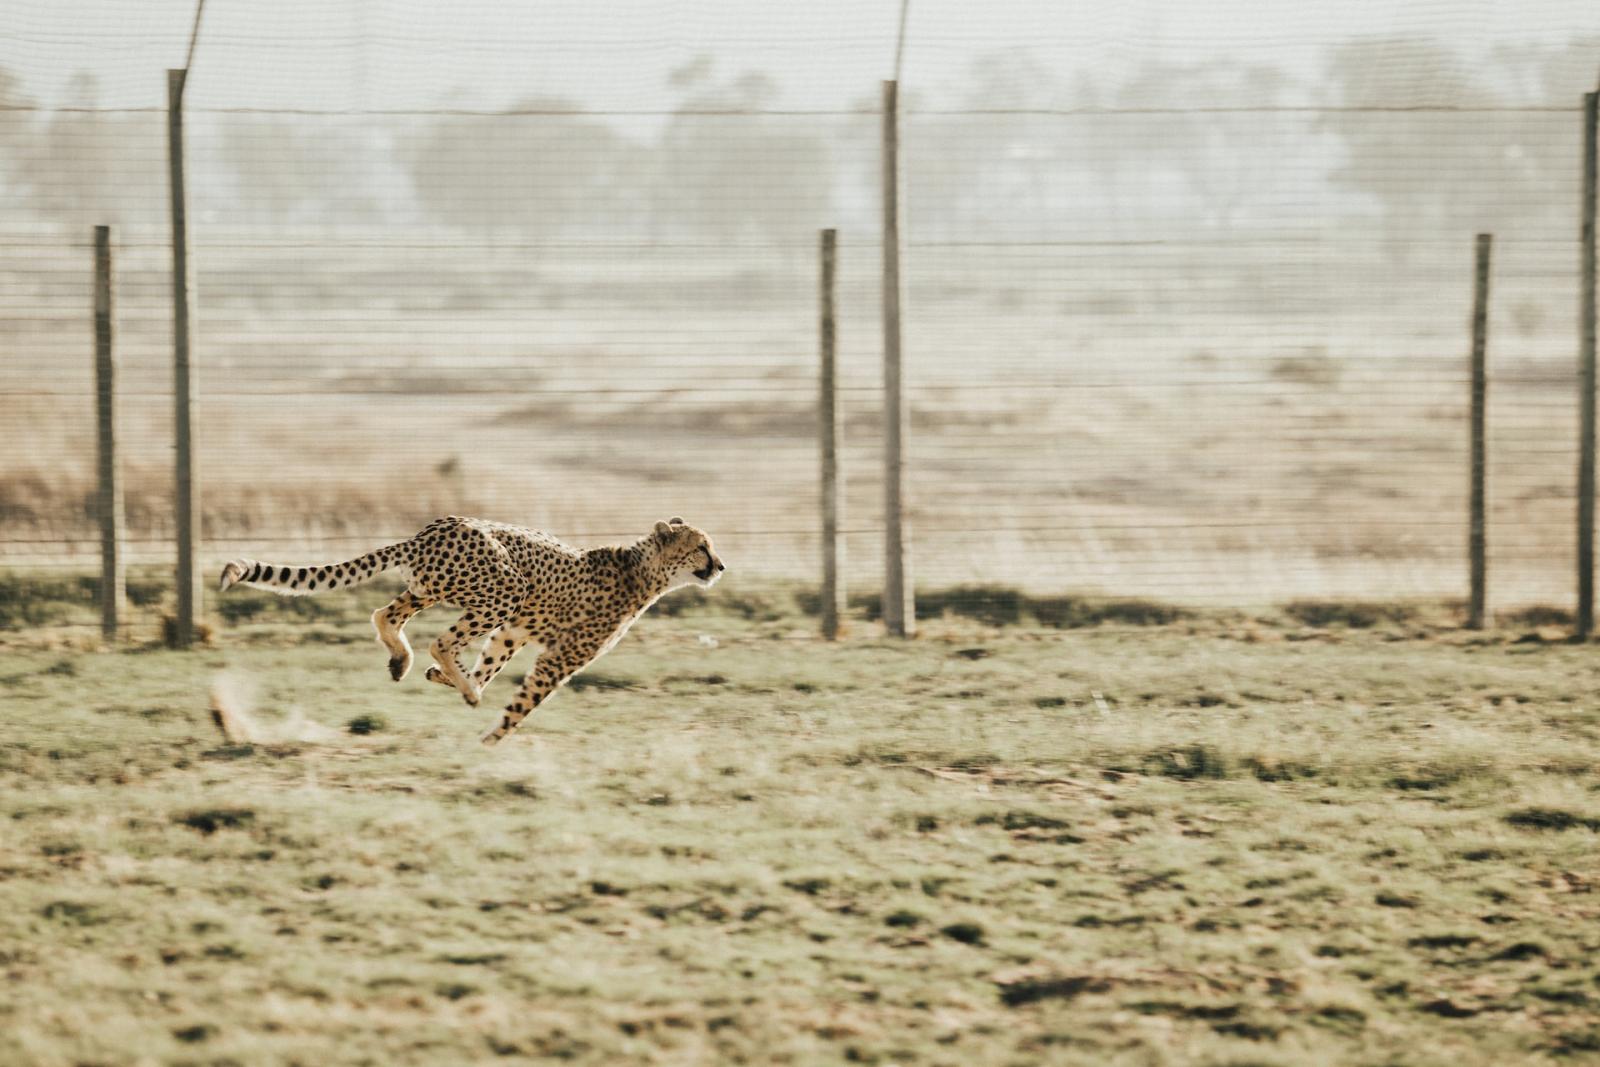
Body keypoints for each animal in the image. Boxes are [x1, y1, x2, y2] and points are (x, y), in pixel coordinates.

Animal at [217, 515, 726, 748]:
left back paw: (407, 663)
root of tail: (432, 529)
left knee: (386, 614)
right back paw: (455, 683)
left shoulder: (515, 631)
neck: (644, 569)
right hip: (506, 587)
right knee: (439, 639)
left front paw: (452, 681)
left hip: (435, 588)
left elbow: (491, 661)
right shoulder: (558, 657)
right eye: (701, 546)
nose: (720, 565)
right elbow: (523, 702)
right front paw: (490, 738)